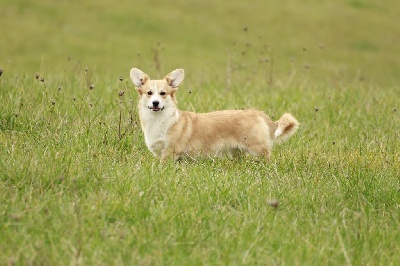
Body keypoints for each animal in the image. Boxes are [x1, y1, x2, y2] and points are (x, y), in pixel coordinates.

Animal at [130, 67, 298, 161]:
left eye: (163, 93)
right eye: (149, 93)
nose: (155, 103)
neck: (158, 121)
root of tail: (257, 113)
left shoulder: (170, 152)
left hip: (258, 149)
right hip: (237, 151)